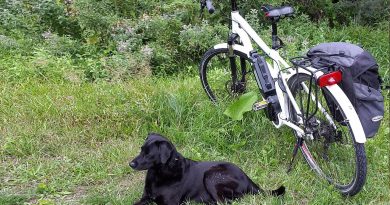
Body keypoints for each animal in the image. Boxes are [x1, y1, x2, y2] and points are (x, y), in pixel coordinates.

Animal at [129, 133, 284, 205]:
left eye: (148, 154)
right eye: (141, 149)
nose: (130, 164)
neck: (160, 173)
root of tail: (248, 179)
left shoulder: (169, 203)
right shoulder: (146, 198)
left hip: (211, 176)